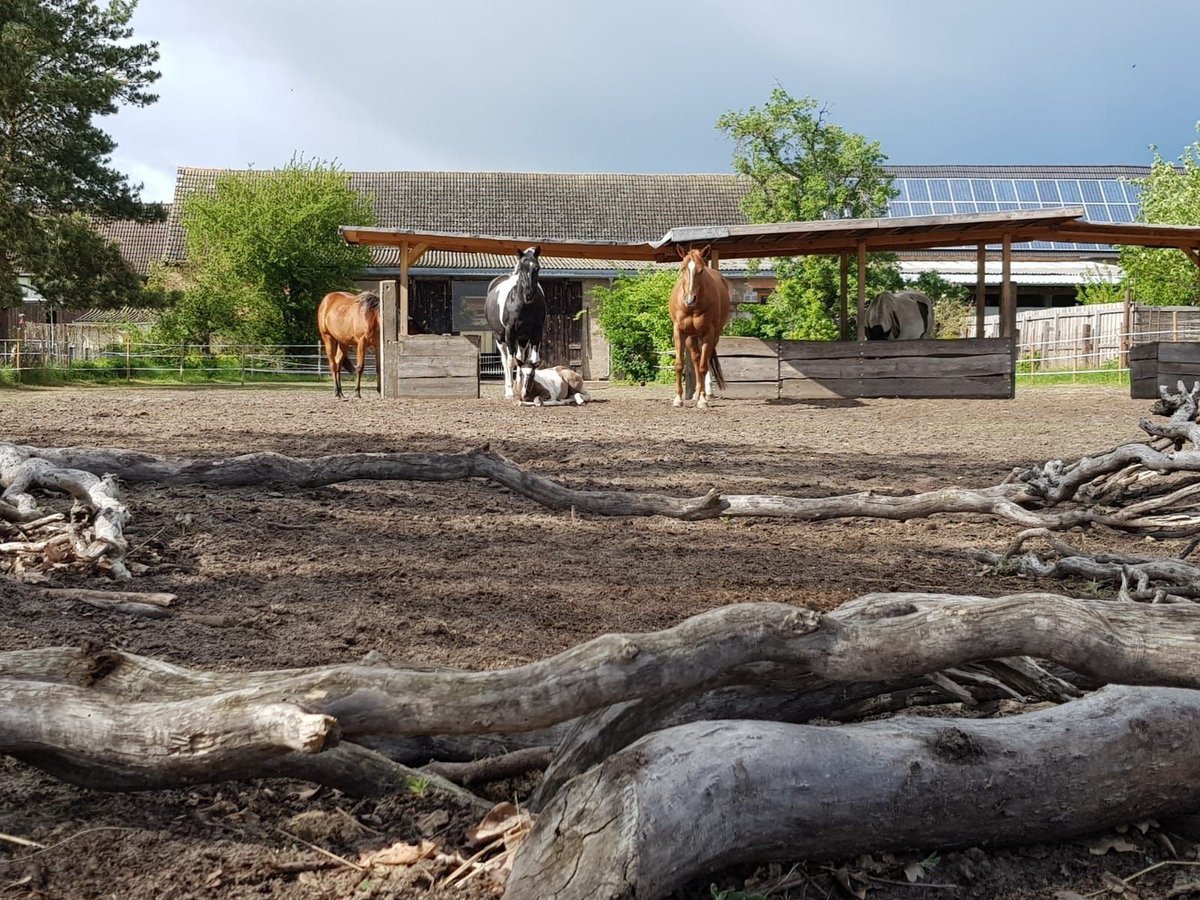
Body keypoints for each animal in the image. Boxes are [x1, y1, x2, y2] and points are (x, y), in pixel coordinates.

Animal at [484, 247, 547, 400]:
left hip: (522, 338)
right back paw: (509, 387)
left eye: (537, 268)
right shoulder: (510, 333)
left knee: (520, 358)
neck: (522, 305)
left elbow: (532, 360)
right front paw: (510, 392)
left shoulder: (536, 333)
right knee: (505, 360)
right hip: (500, 337)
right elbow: (510, 362)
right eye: (522, 268)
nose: (529, 294)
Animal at [667, 243, 729, 405]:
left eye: (701, 270)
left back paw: (703, 393)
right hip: (691, 337)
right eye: (683, 268)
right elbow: (679, 364)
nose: (690, 299)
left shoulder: (708, 333)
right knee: (696, 358)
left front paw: (702, 400)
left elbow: (703, 367)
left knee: (703, 361)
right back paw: (695, 393)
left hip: (713, 336)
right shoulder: (679, 331)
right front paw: (678, 399)